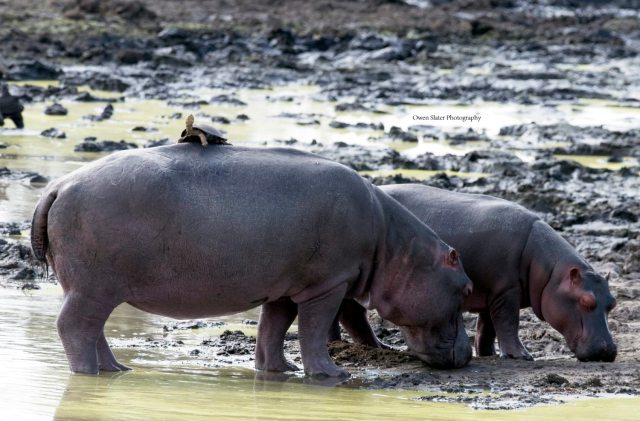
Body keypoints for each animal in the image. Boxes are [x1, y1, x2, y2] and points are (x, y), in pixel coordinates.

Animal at [31, 145, 473, 377]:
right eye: (466, 288)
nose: (469, 354)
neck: (395, 246)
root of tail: (58, 185)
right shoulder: (328, 285)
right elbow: (312, 330)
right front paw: (331, 375)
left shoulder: (285, 288)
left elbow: (272, 329)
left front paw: (278, 372)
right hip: (93, 287)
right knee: (74, 326)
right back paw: (89, 374)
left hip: (90, 288)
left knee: (93, 330)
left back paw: (116, 370)